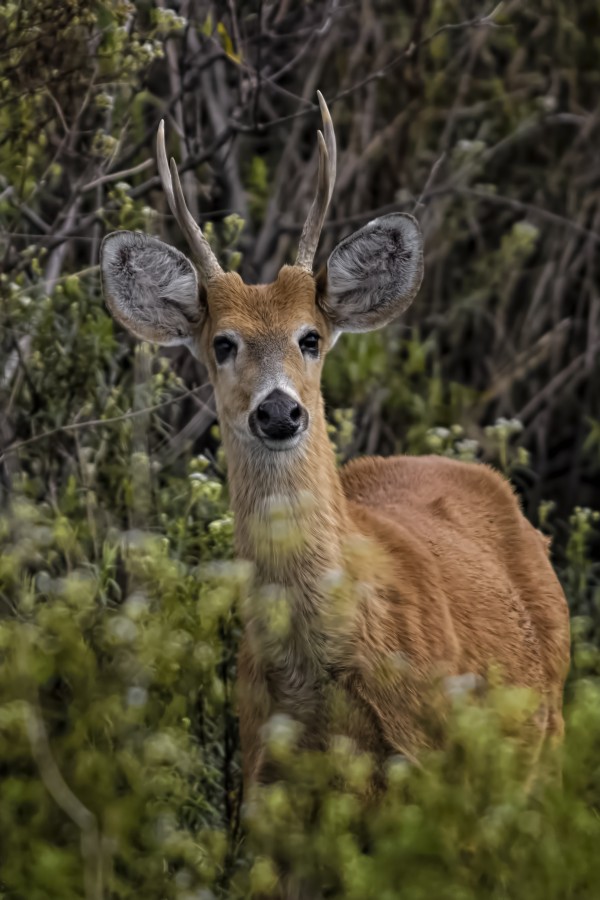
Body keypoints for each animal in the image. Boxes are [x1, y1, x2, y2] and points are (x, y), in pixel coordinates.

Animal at [102, 93, 572, 800]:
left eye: (311, 337)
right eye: (223, 343)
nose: (278, 410)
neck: (317, 666)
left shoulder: (423, 765)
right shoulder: (262, 774)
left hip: (547, 743)